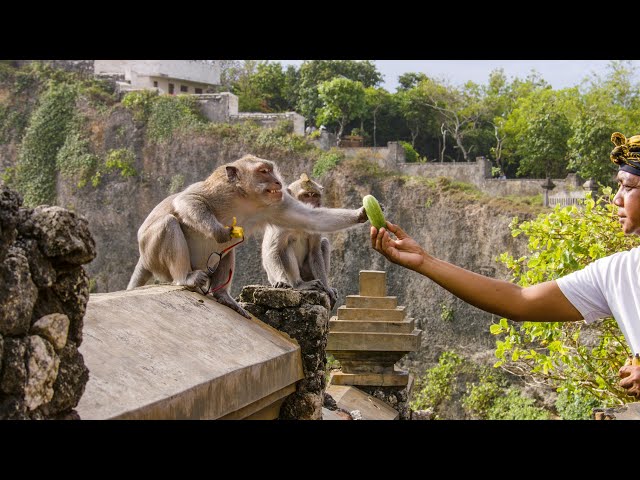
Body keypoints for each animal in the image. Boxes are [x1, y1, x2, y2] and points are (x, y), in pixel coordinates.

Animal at [261, 173, 339, 308]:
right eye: (306, 195)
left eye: (315, 195)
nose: (312, 204)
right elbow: (273, 251)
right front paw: (282, 281)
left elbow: (315, 251)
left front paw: (327, 287)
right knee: (285, 247)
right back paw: (299, 284)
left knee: (324, 243)